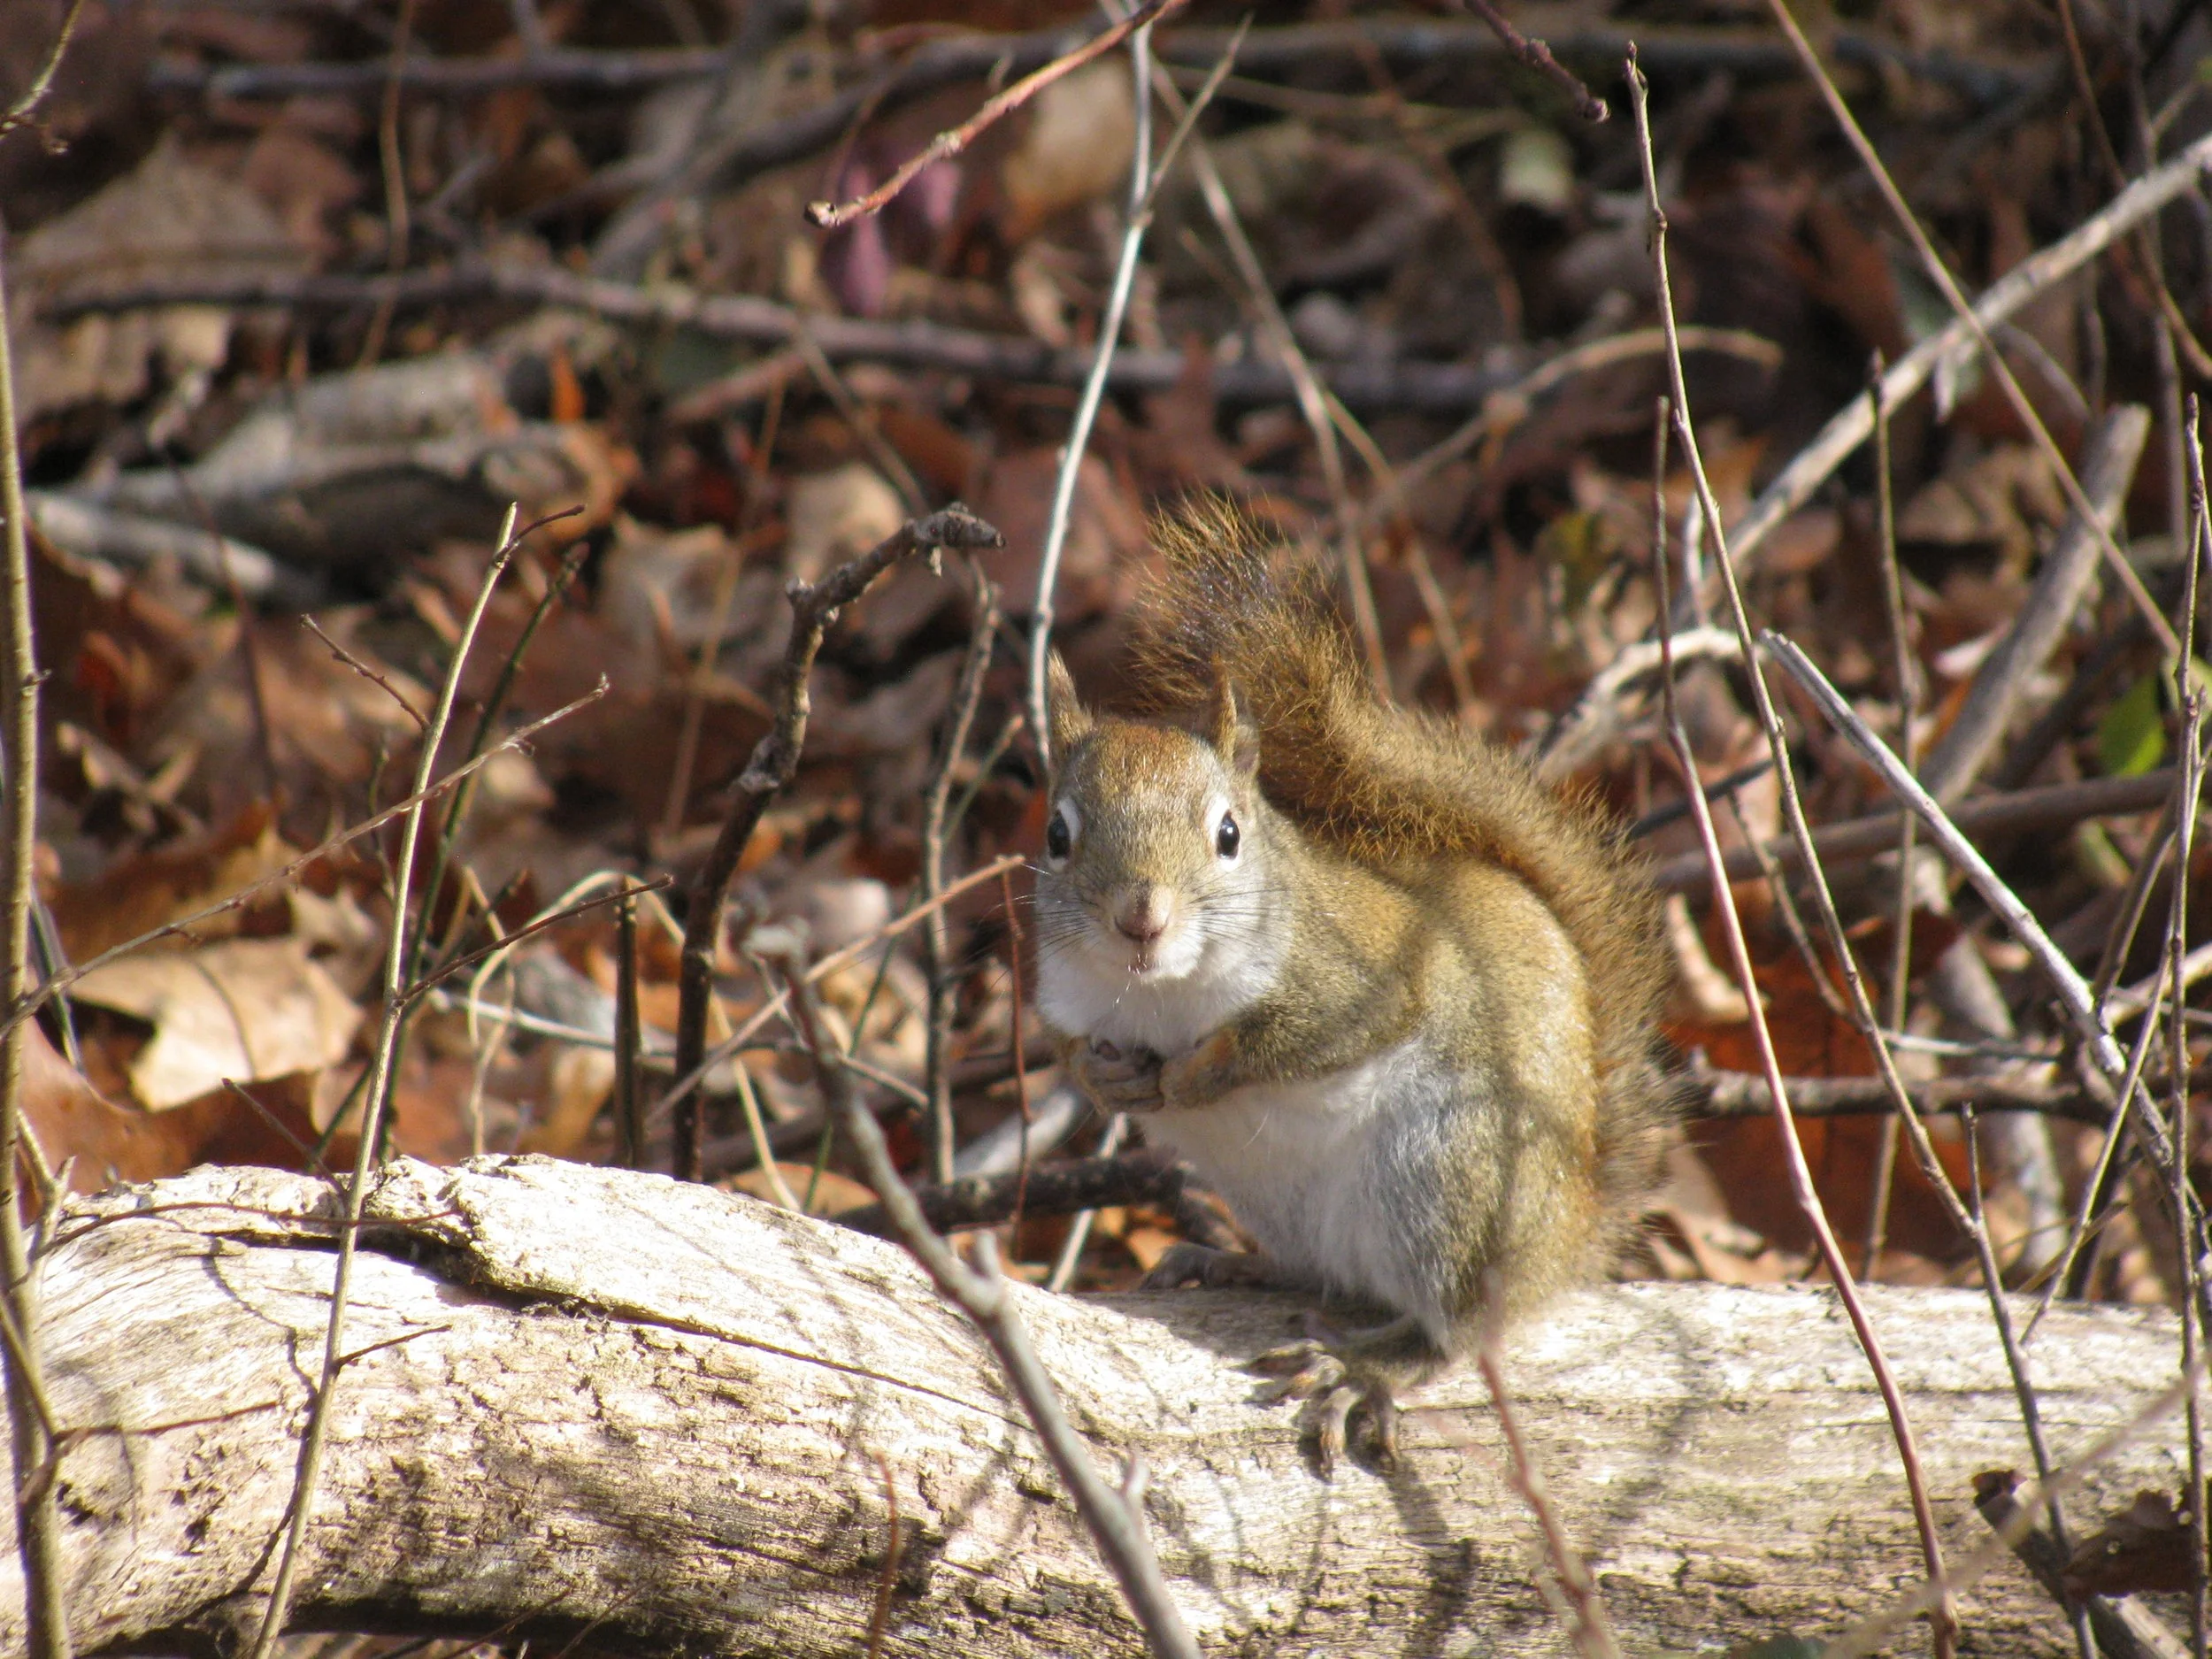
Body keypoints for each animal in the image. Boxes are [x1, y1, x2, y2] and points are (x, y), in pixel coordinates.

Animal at [1032, 497, 1678, 1475]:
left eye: (1229, 833)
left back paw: (1365, 1367)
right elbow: (1072, 1052)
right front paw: (1105, 1075)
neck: (1159, 994)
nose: (1139, 918)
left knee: (1454, 1328)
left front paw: (1199, 1072)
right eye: (1057, 834)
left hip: (1449, 1174)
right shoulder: (1069, 996)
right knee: (1321, 1271)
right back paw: (1233, 1262)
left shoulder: (1369, 972)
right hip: (1298, 1202)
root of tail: (1566, 1238)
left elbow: (1303, 1033)